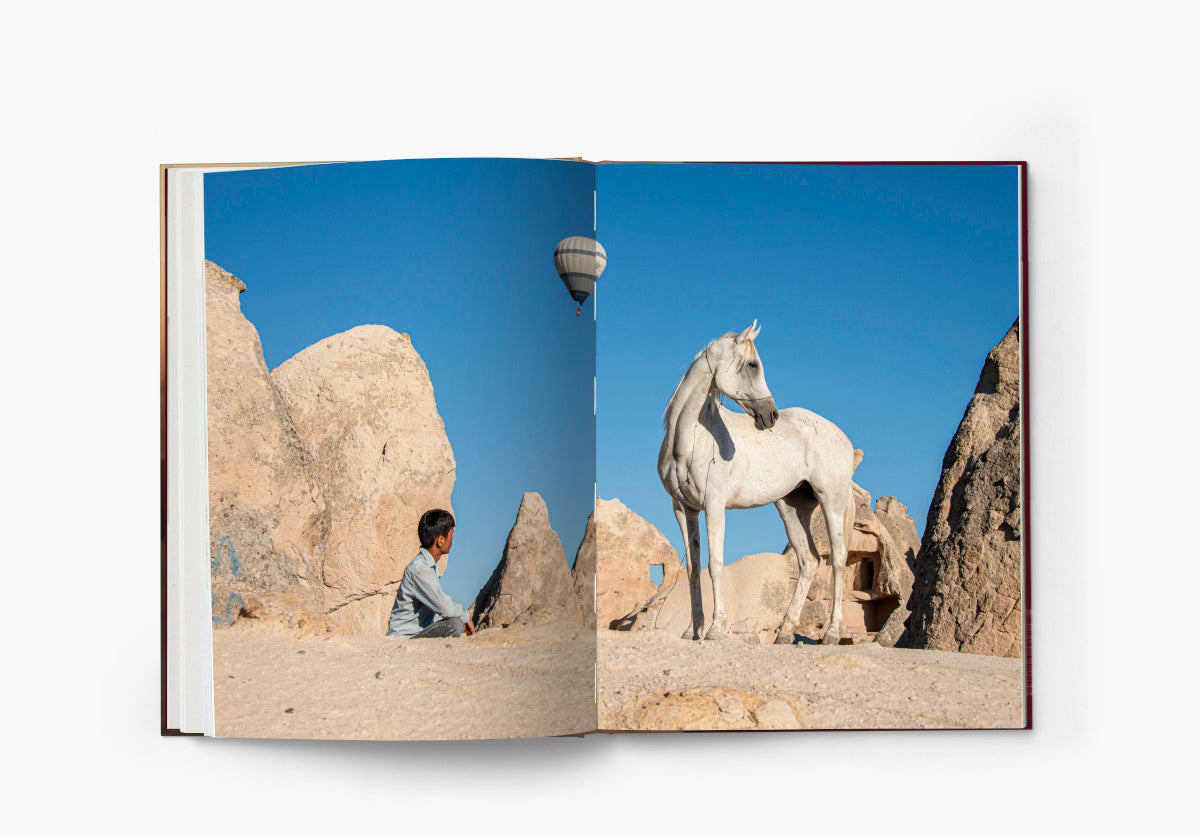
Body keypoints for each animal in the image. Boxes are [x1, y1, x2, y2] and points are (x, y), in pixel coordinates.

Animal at [657, 321, 857, 645]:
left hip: (832, 502)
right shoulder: (684, 509)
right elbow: (693, 568)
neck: (688, 441)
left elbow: (714, 564)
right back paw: (785, 633)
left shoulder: (714, 507)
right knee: (809, 561)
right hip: (791, 508)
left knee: (838, 559)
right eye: (752, 365)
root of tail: (842, 437)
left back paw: (832, 632)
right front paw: (692, 630)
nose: (770, 415)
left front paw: (715, 629)